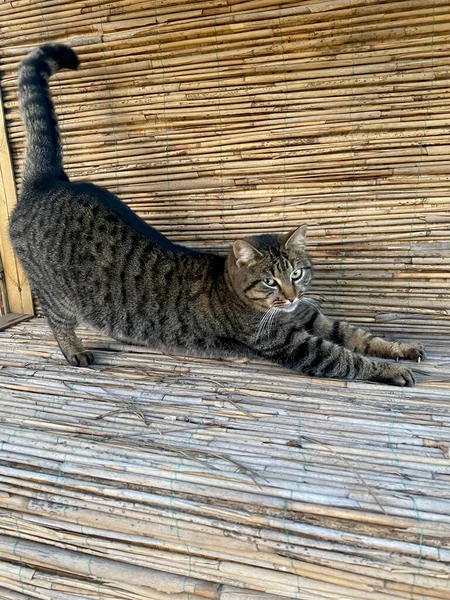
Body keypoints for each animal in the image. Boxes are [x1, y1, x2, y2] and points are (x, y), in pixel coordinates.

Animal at [9, 44, 426, 386]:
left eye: (295, 274)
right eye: (270, 282)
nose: (291, 295)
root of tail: (49, 181)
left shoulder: (309, 316)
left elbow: (357, 334)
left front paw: (398, 349)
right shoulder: (291, 342)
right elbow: (346, 357)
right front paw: (389, 369)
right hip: (57, 294)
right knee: (57, 320)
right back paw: (74, 350)